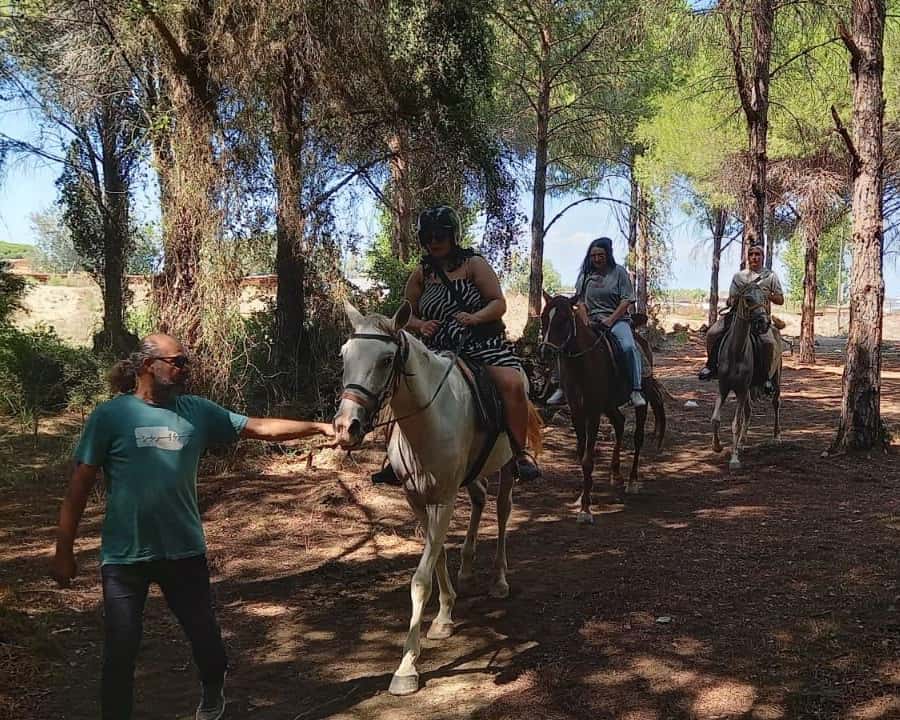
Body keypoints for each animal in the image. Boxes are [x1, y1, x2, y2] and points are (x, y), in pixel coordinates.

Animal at [332, 300, 542, 696]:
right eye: (344, 354)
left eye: (386, 359)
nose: (346, 427)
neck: (428, 419)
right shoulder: (417, 499)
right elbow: (439, 554)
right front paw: (444, 616)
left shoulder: (443, 499)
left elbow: (420, 580)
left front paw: (405, 668)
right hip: (470, 477)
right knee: (478, 499)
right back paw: (468, 566)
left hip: (508, 466)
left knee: (502, 511)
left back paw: (499, 580)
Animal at [539, 292, 666, 525]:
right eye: (544, 318)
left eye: (564, 320)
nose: (545, 352)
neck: (583, 362)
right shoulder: (577, 412)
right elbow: (582, 454)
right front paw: (582, 497)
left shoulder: (593, 412)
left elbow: (588, 459)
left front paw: (585, 510)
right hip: (609, 405)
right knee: (620, 423)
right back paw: (615, 474)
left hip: (638, 402)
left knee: (638, 437)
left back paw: (632, 481)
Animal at [711, 280, 782, 470]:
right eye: (748, 299)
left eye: (764, 298)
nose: (764, 322)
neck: (736, 352)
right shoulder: (723, 388)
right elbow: (715, 419)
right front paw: (717, 446)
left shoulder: (742, 390)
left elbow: (736, 423)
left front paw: (734, 459)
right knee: (749, 411)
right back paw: (742, 442)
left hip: (776, 378)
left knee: (776, 403)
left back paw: (776, 436)